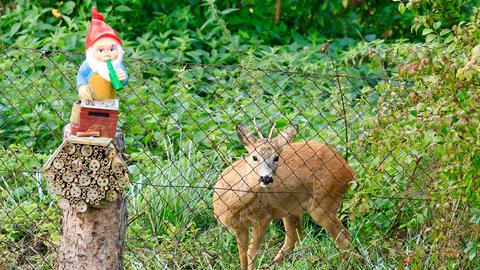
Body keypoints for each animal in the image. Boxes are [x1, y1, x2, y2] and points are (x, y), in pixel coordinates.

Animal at [214, 123, 352, 268]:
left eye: (276, 157)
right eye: (254, 157)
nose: (266, 178)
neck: (232, 203)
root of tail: (349, 170)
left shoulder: (263, 218)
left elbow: (251, 252)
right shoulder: (239, 226)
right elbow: (242, 255)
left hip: (323, 202)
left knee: (343, 239)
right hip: (291, 209)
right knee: (296, 237)